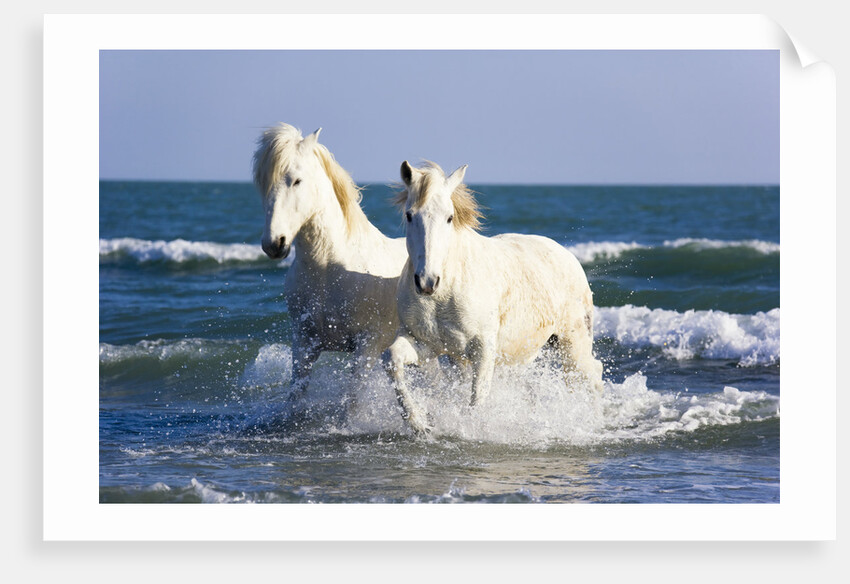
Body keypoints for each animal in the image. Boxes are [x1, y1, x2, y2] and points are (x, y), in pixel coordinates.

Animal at [252, 124, 408, 405]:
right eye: (263, 184)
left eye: (297, 180)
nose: (274, 243)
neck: (328, 269)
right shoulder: (304, 342)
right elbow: (296, 400)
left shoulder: (367, 346)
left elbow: (351, 404)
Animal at [381, 161, 604, 435]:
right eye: (409, 215)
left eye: (449, 217)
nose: (427, 282)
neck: (445, 294)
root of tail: (567, 255)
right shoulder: (426, 345)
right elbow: (393, 360)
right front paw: (419, 423)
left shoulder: (483, 348)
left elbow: (478, 397)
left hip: (573, 344)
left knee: (590, 376)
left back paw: (594, 421)